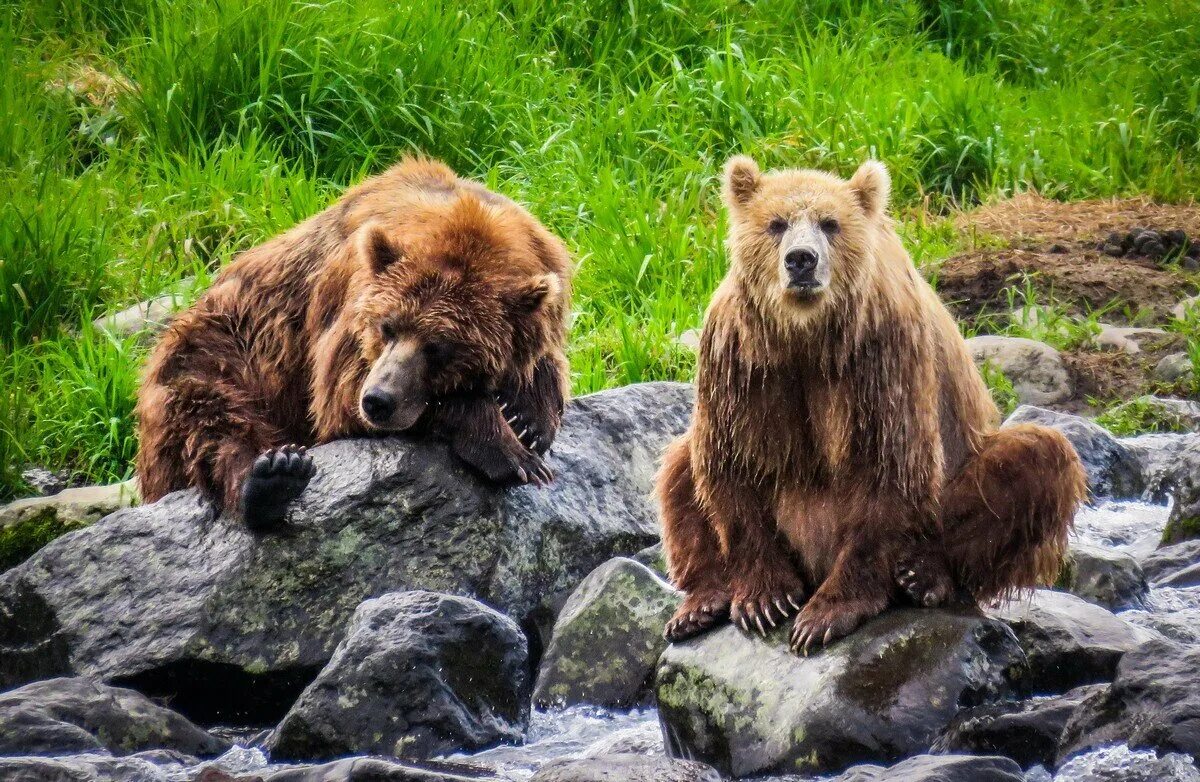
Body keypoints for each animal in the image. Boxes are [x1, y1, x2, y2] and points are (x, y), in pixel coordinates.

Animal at [137, 155, 571, 527]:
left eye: (439, 347)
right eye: (387, 327)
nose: (379, 401)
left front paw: (529, 417)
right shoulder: (346, 311)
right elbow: (340, 397)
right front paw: (511, 451)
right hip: (217, 351)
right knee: (206, 414)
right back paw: (271, 479)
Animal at [657, 155, 1089, 652]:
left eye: (830, 223)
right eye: (776, 223)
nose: (801, 260)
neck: (808, 334)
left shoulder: (883, 355)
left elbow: (890, 468)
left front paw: (826, 614)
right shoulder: (741, 357)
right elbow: (731, 462)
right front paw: (764, 598)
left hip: (954, 482)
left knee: (1035, 461)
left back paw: (925, 576)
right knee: (680, 464)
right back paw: (700, 603)